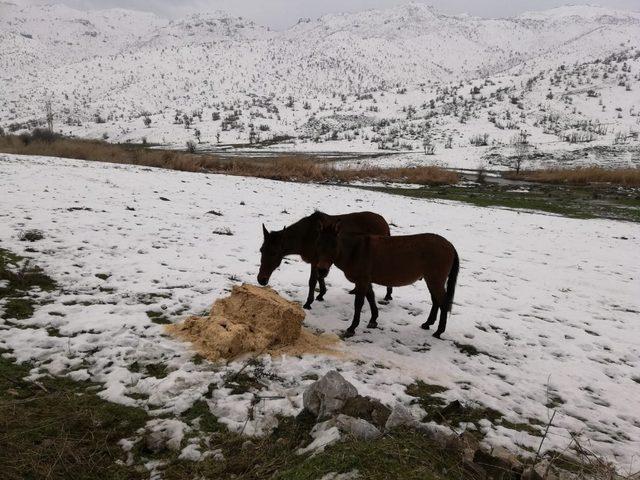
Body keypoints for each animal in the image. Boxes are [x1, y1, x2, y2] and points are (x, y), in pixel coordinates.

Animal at [258, 211, 392, 310]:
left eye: (274, 253)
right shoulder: (320, 262)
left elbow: (313, 281)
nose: (261, 280)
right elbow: (320, 277)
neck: (307, 235)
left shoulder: (315, 261)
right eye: (261, 250)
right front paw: (321, 294)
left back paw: (388, 295)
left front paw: (308, 303)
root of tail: (384, 222)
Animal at [316, 223, 458, 340]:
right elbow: (371, 297)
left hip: (435, 280)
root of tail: (449, 245)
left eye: (333, 245)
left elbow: (359, 304)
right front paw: (373, 320)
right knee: (436, 302)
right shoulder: (366, 281)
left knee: (443, 303)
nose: (321, 271)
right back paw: (427, 324)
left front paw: (352, 328)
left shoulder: (362, 281)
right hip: (432, 280)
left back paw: (439, 331)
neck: (356, 250)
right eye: (318, 244)